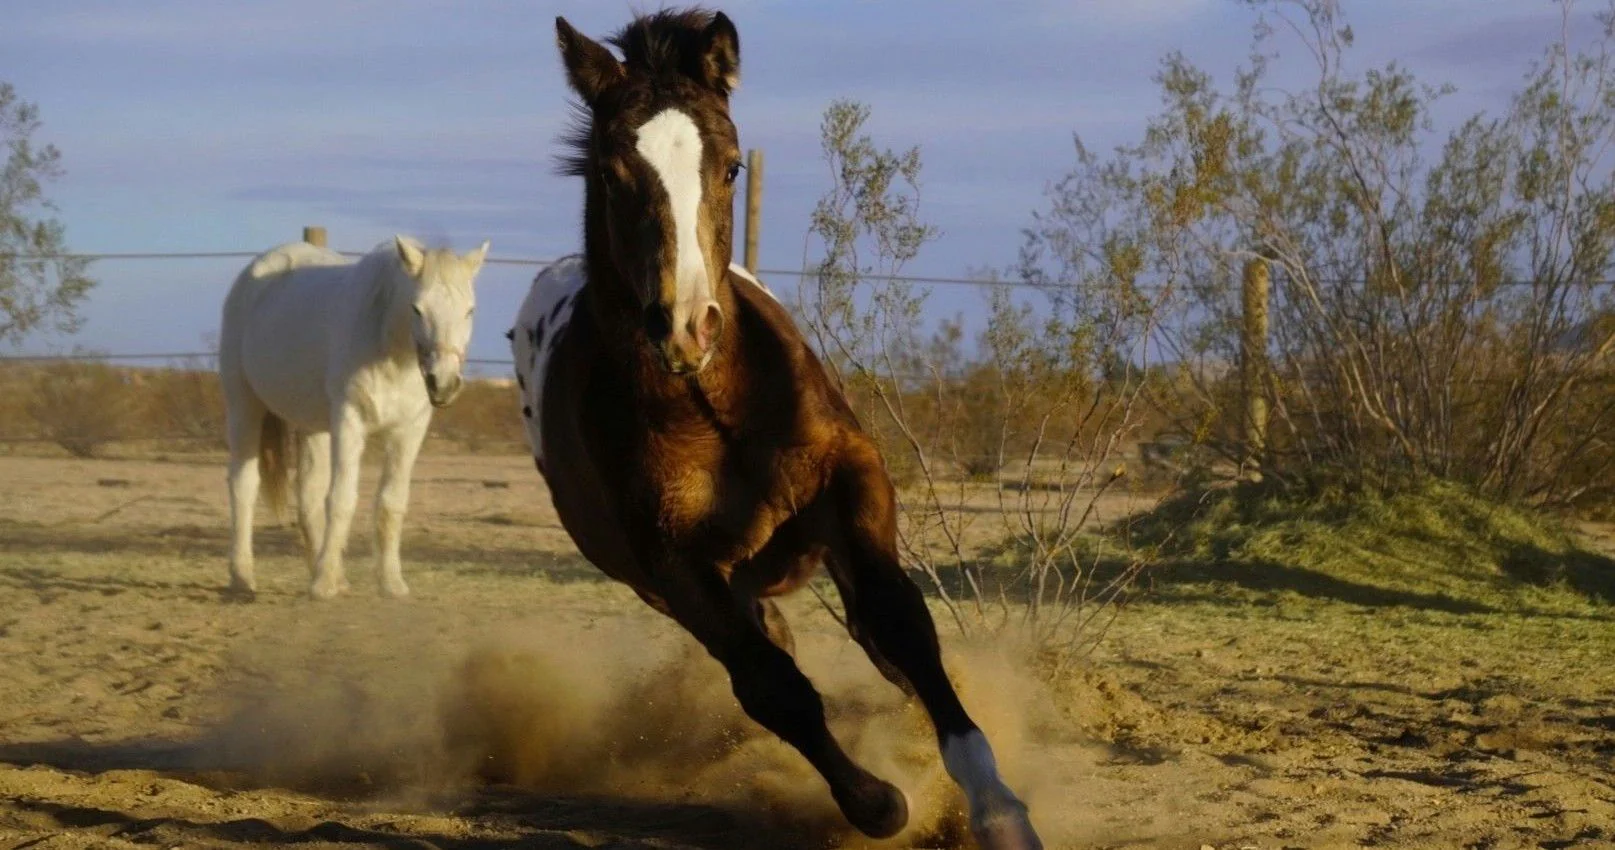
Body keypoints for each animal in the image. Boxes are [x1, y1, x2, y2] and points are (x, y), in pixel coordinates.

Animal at [219, 236, 489, 600]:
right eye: (417, 309)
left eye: (469, 310)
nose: (443, 384)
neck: (390, 349)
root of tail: (257, 271)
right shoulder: (349, 421)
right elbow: (342, 498)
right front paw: (323, 584)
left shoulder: (409, 431)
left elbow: (391, 502)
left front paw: (390, 583)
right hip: (244, 405)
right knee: (244, 485)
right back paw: (243, 577)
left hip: (313, 426)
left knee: (308, 494)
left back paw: (332, 575)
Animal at [509, 10, 1042, 848]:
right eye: (611, 170)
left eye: (731, 167)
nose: (686, 327)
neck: (717, 410)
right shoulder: (674, 566)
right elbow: (772, 687)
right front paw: (880, 803)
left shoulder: (851, 491)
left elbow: (901, 628)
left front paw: (997, 811)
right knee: (768, 655)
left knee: (865, 640)